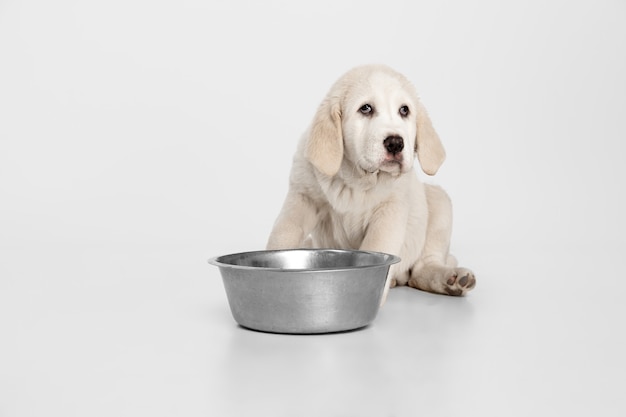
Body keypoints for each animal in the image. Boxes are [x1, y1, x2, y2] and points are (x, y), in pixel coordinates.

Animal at [266, 64, 476, 302]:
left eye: (404, 110)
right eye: (365, 108)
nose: (395, 143)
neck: (357, 178)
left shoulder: (389, 213)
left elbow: (377, 245)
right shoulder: (302, 198)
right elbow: (282, 235)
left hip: (439, 201)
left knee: (422, 269)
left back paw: (451, 279)